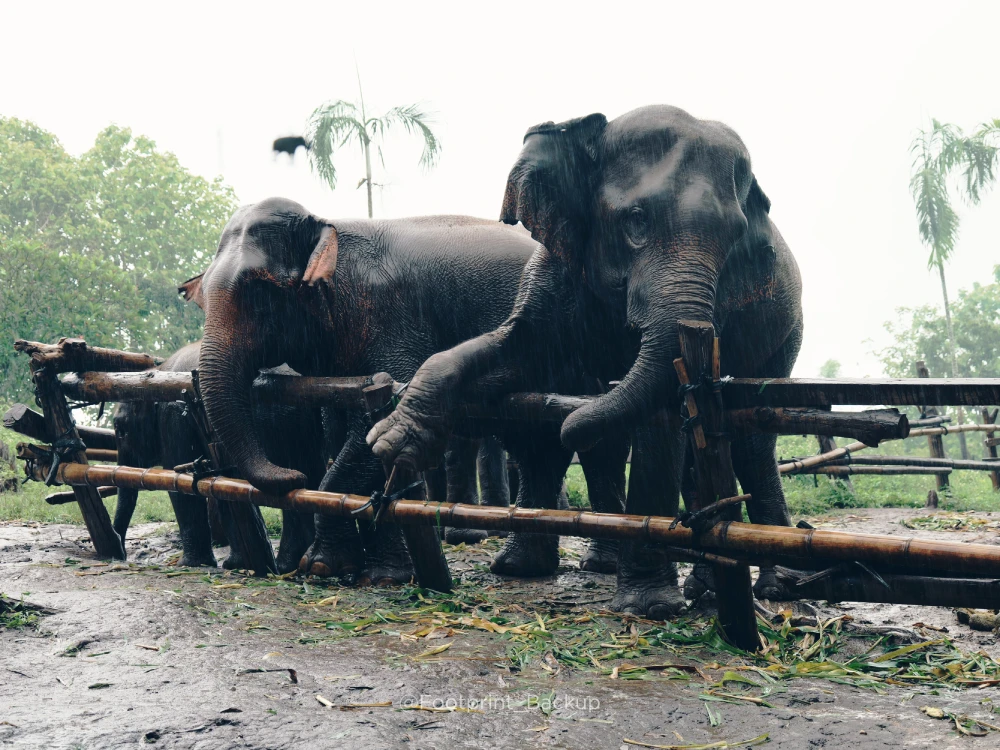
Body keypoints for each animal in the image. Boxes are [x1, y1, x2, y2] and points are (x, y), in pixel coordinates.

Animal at [195, 198, 627, 586]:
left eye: (258, 292)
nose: (293, 475)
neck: (329, 224)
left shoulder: (392, 318)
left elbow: (372, 430)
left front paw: (327, 568)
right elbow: (338, 424)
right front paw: (345, 570)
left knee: (592, 441)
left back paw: (597, 565)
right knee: (537, 445)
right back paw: (518, 568)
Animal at [367, 105, 804, 618]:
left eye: (736, 237)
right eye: (636, 219)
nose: (574, 424)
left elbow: (661, 420)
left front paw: (649, 607)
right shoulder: (551, 272)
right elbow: (511, 353)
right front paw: (390, 444)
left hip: (786, 335)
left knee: (752, 443)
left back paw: (776, 589)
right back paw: (701, 590)